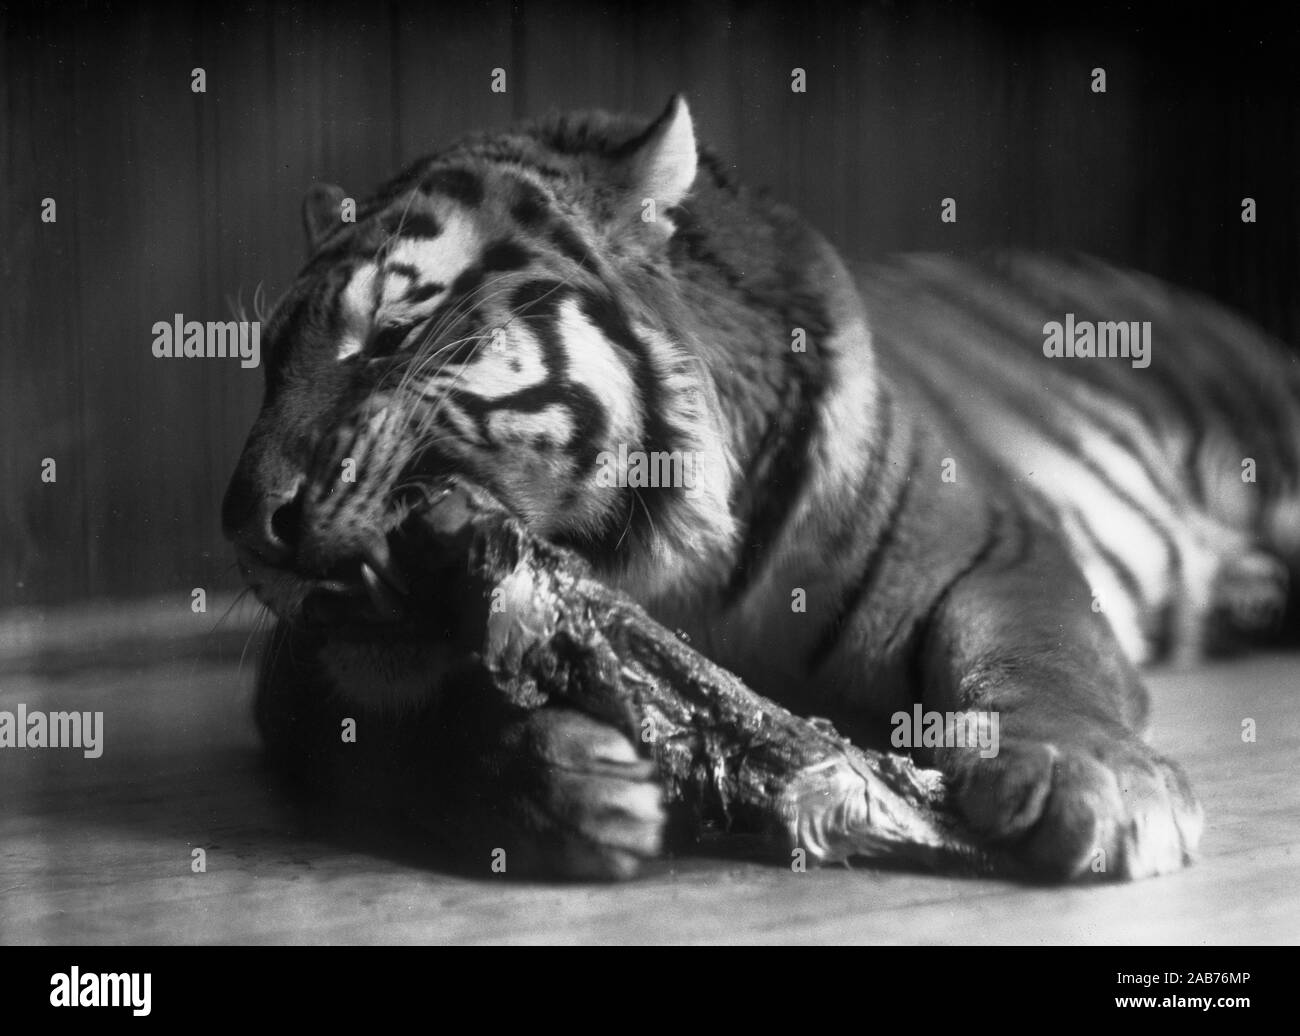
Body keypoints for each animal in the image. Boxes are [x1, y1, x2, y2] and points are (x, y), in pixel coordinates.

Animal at [223, 94, 1300, 878]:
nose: (244, 526)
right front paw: (563, 780)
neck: (666, 571)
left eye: (389, 332)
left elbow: (1033, 653)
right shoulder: (300, 670)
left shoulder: (993, 545)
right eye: (270, 362)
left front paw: (1095, 782)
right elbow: (402, 731)